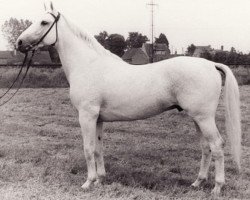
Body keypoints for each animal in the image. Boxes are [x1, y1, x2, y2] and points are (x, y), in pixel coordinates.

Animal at [16, 0, 240, 197]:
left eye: (44, 22)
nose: (19, 43)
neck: (88, 65)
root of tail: (210, 64)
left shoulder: (86, 116)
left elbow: (88, 148)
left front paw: (88, 182)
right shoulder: (97, 119)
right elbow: (98, 149)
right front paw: (100, 179)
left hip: (204, 118)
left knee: (217, 145)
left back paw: (217, 187)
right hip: (197, 118)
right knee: (206, 148)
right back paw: (197, 183)